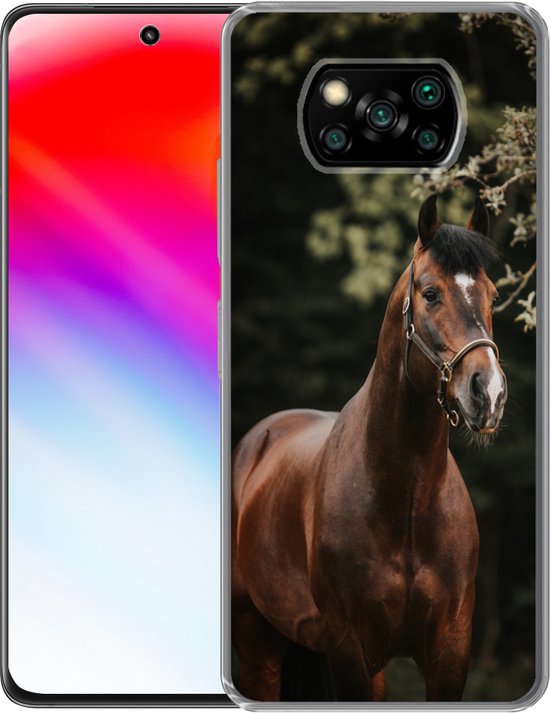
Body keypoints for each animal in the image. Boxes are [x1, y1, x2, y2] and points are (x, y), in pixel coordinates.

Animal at [231, 195, 508, 702]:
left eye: (493, 295)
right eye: (430, 293)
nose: (489, 392)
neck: (406, 500)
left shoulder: (450, 653)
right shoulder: (348, 649)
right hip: (258, 643)